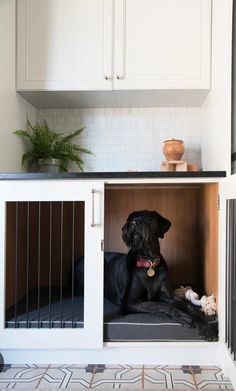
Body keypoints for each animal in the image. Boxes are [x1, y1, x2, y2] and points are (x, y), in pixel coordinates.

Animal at [74, 210, 217, 342]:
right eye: (130, 219)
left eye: (149, 218)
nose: (134, 223)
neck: (149, 261)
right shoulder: (129, 302)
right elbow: (161, 305)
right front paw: (184, 317)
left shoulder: (169, 296)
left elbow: (188, 307)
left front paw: (204, 325)